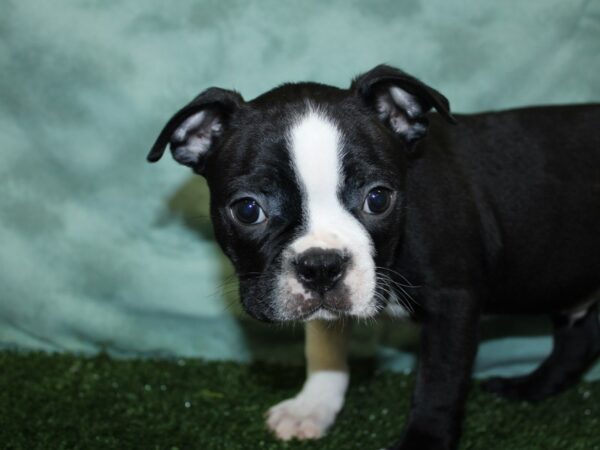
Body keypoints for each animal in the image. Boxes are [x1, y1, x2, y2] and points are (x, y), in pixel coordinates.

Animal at [146, 66, 600, 450]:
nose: (321, 266)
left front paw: (423, 443)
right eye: (247, 209)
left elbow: (439, 381)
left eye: (378, 199)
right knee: (576, 344)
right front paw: (314, 405)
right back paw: (527, 389)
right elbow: (323, 345)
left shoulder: (454, 301)